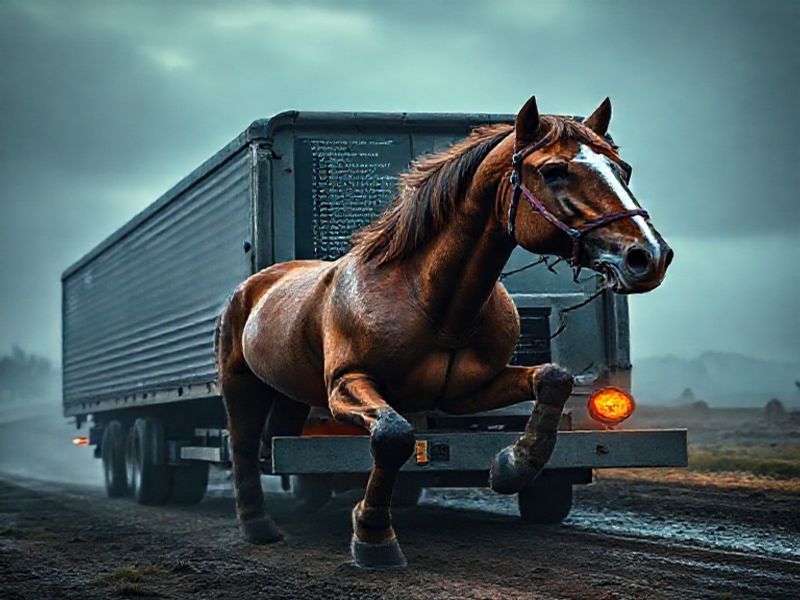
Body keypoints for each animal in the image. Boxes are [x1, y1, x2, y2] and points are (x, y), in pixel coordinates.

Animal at [215, 96, 673, 569]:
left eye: (623, 169)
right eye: (553, 171)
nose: (648, 256)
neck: (430, 302)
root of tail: (253, 287)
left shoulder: (465, 394)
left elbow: (553, 378)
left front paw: (510, 467)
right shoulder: (346, 386)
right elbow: (394, 437)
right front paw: (374, 538)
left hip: (288, 389)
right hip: (240, 382)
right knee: (243, 446)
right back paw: (260, 529)